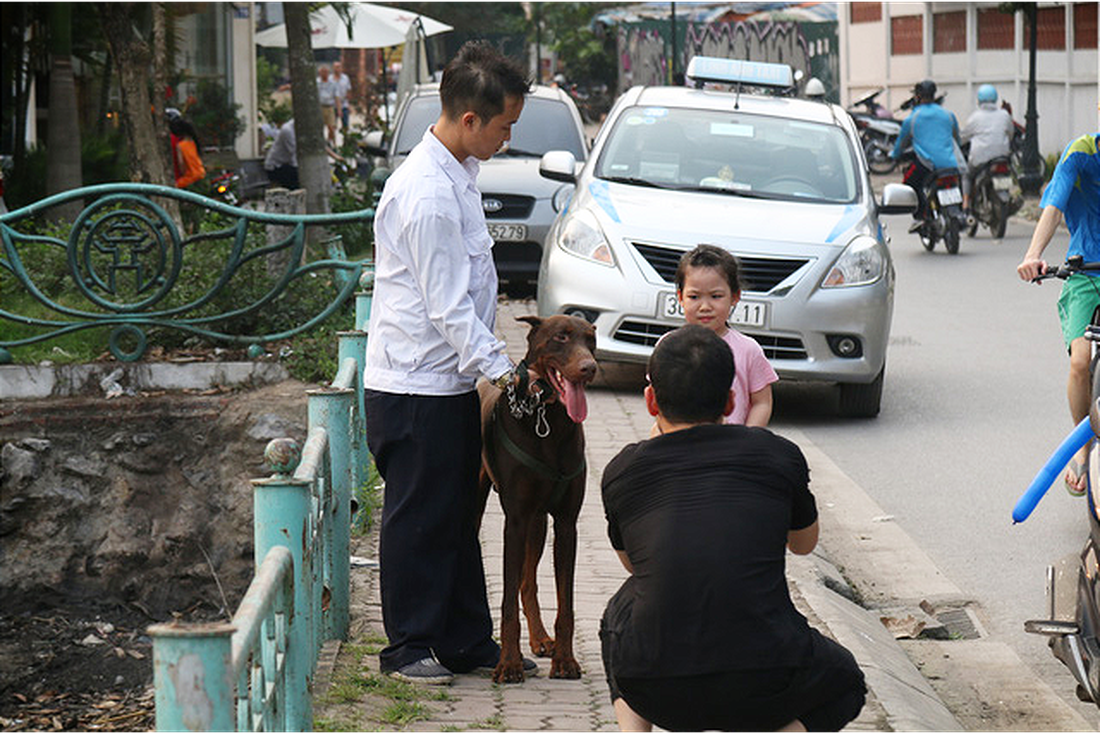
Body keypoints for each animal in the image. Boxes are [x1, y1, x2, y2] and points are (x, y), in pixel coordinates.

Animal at [477, 314, 598, 682]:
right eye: (561, 337)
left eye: (591, 340)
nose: (590, 367)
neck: (549, 419)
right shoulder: (514, 520)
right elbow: (505, 604)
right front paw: (509, 664)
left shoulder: (566, 524)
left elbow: (565, 603)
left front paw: (565, 660)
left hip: (539, 523)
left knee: (527, 582)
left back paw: (541, 639)